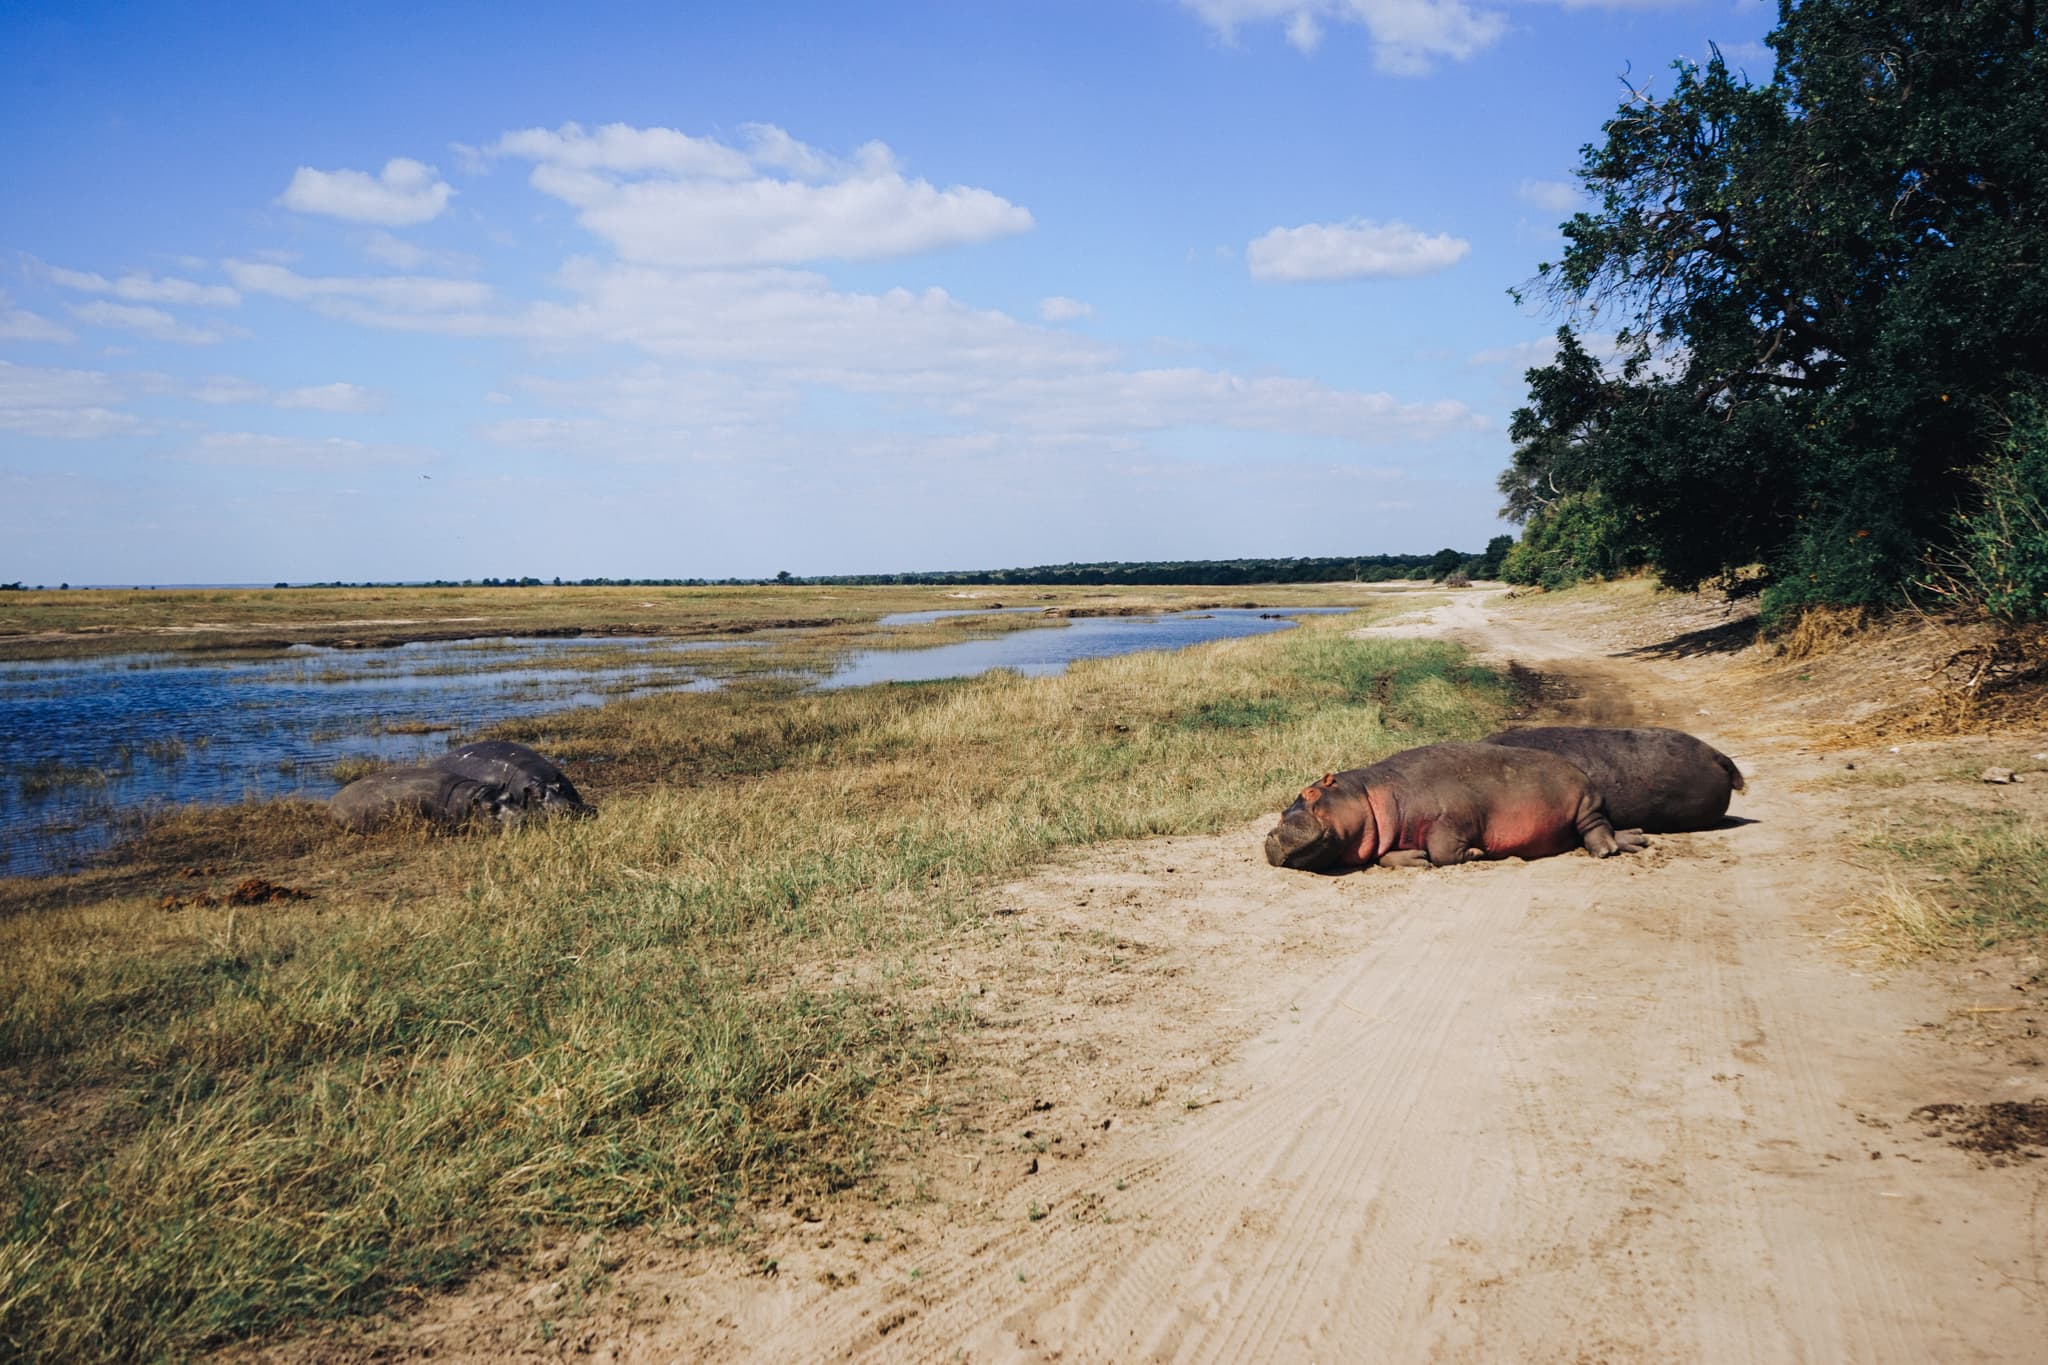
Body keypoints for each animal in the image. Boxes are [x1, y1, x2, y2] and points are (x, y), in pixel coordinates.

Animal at [1261, 740, 1646, 871]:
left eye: (1310, 793)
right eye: (1281, 811)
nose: (1270, 833)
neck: (1371, 794)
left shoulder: (1451, 819)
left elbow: (1445, 850)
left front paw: (1476, 853)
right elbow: (1388, 857)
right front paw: (1417, 858)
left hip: (1584, 803)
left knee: (1595, 826)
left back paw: (1606, 851)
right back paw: (1636, 839)